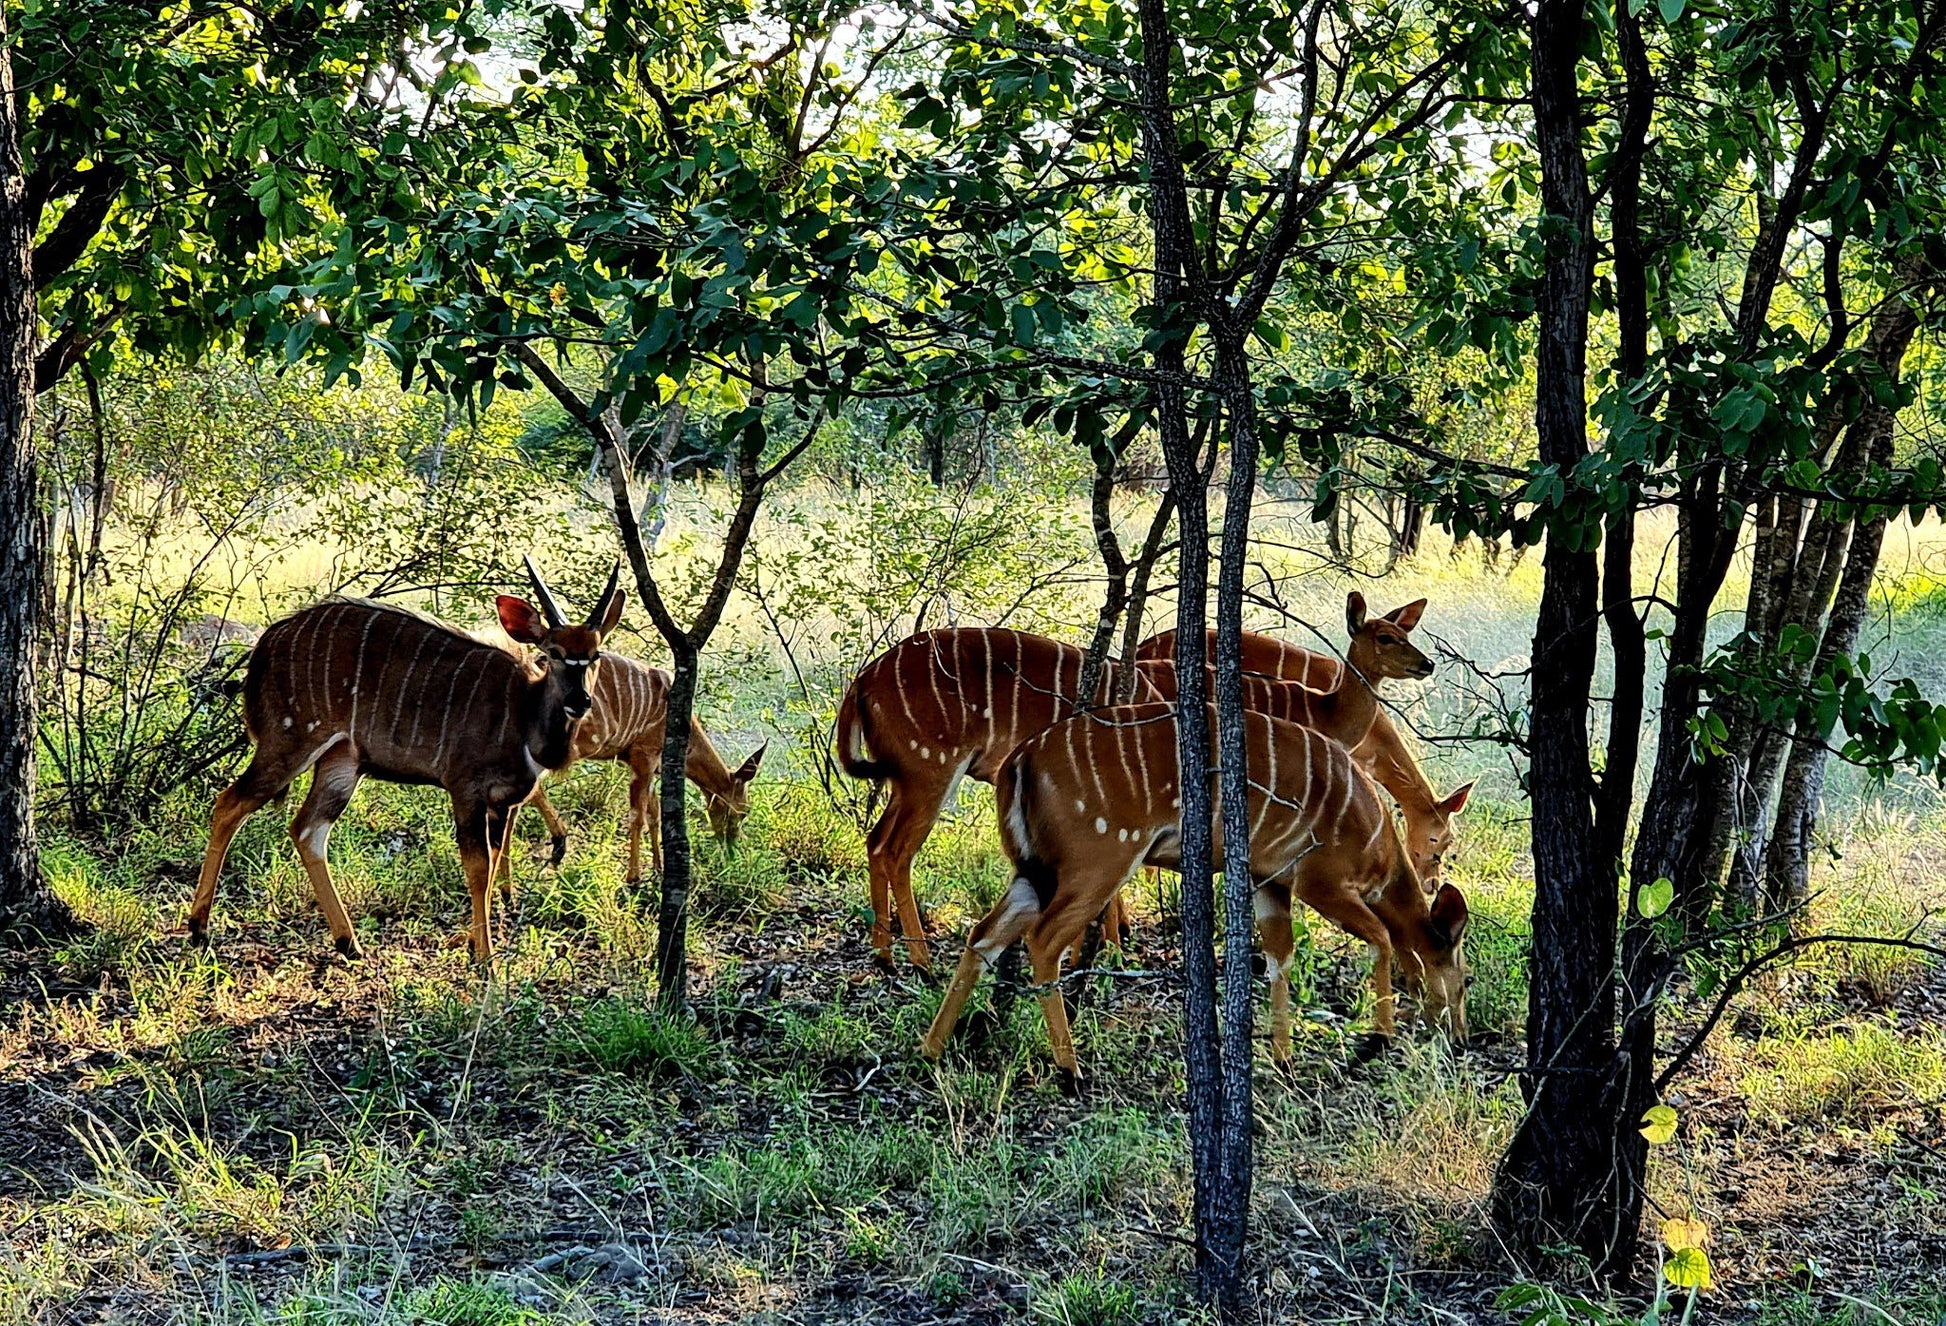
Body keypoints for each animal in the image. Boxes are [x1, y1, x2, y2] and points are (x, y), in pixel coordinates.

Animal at [189, 556, 622, 961]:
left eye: (596, 654)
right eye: (554, 652)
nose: (580, 700)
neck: (524, 714)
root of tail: (269, 640)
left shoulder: (501, 802)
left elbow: (495, 858)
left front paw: (472, 944)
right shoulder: (466, 789)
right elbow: (478, 868)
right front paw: (485, 959)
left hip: (341, 763)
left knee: (307, 829)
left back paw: (349, 942)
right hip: (290, 740)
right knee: (230, 803)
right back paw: (198, 928)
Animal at [525, 654, 766, 884]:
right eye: (744, 811)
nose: (733, 850)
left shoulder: (640, 762)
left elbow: (654, 814)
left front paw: (658, 869)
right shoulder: (645, 753)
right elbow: (638, 815)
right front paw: (634, 878)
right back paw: (557, 847)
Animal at [832, 626, 1152, 965]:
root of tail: (863, 682)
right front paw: (1106, 953)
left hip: (904, 781)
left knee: (876, 840)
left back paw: (884, 957)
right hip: (931, 771)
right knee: (895, 851)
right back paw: (923, 963)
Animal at [918, 704, 1463, 1074]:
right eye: (1466, 977)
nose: (1458, 1036)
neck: (1378, 842)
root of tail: (1019, 761)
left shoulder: (1268, 880)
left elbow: (1279, 958)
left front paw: (1283, 1059)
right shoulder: (1320, 879)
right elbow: (1382, 938)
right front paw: (1377, 1040)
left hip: (1033, 871)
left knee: (984, 935)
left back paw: (931, 1049)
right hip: (1099, 861)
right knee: (1043, 940)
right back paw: (1070, 1070)